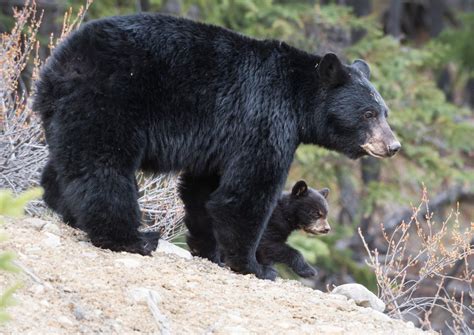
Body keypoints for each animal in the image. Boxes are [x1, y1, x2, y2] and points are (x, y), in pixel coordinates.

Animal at [32, 13, 400, 280]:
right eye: (368, 114)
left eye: (384, 112)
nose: (393, 145)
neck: (298, 100)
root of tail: (60, 63)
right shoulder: (264, 119)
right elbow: (247, 192)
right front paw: (254, 266)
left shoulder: (219, 141)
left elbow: (203, 190)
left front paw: (211, 252)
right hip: (110, 101)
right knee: (103, 167)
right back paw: (132, 238)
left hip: (70, 113)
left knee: (67, 164)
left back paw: (66, 209)